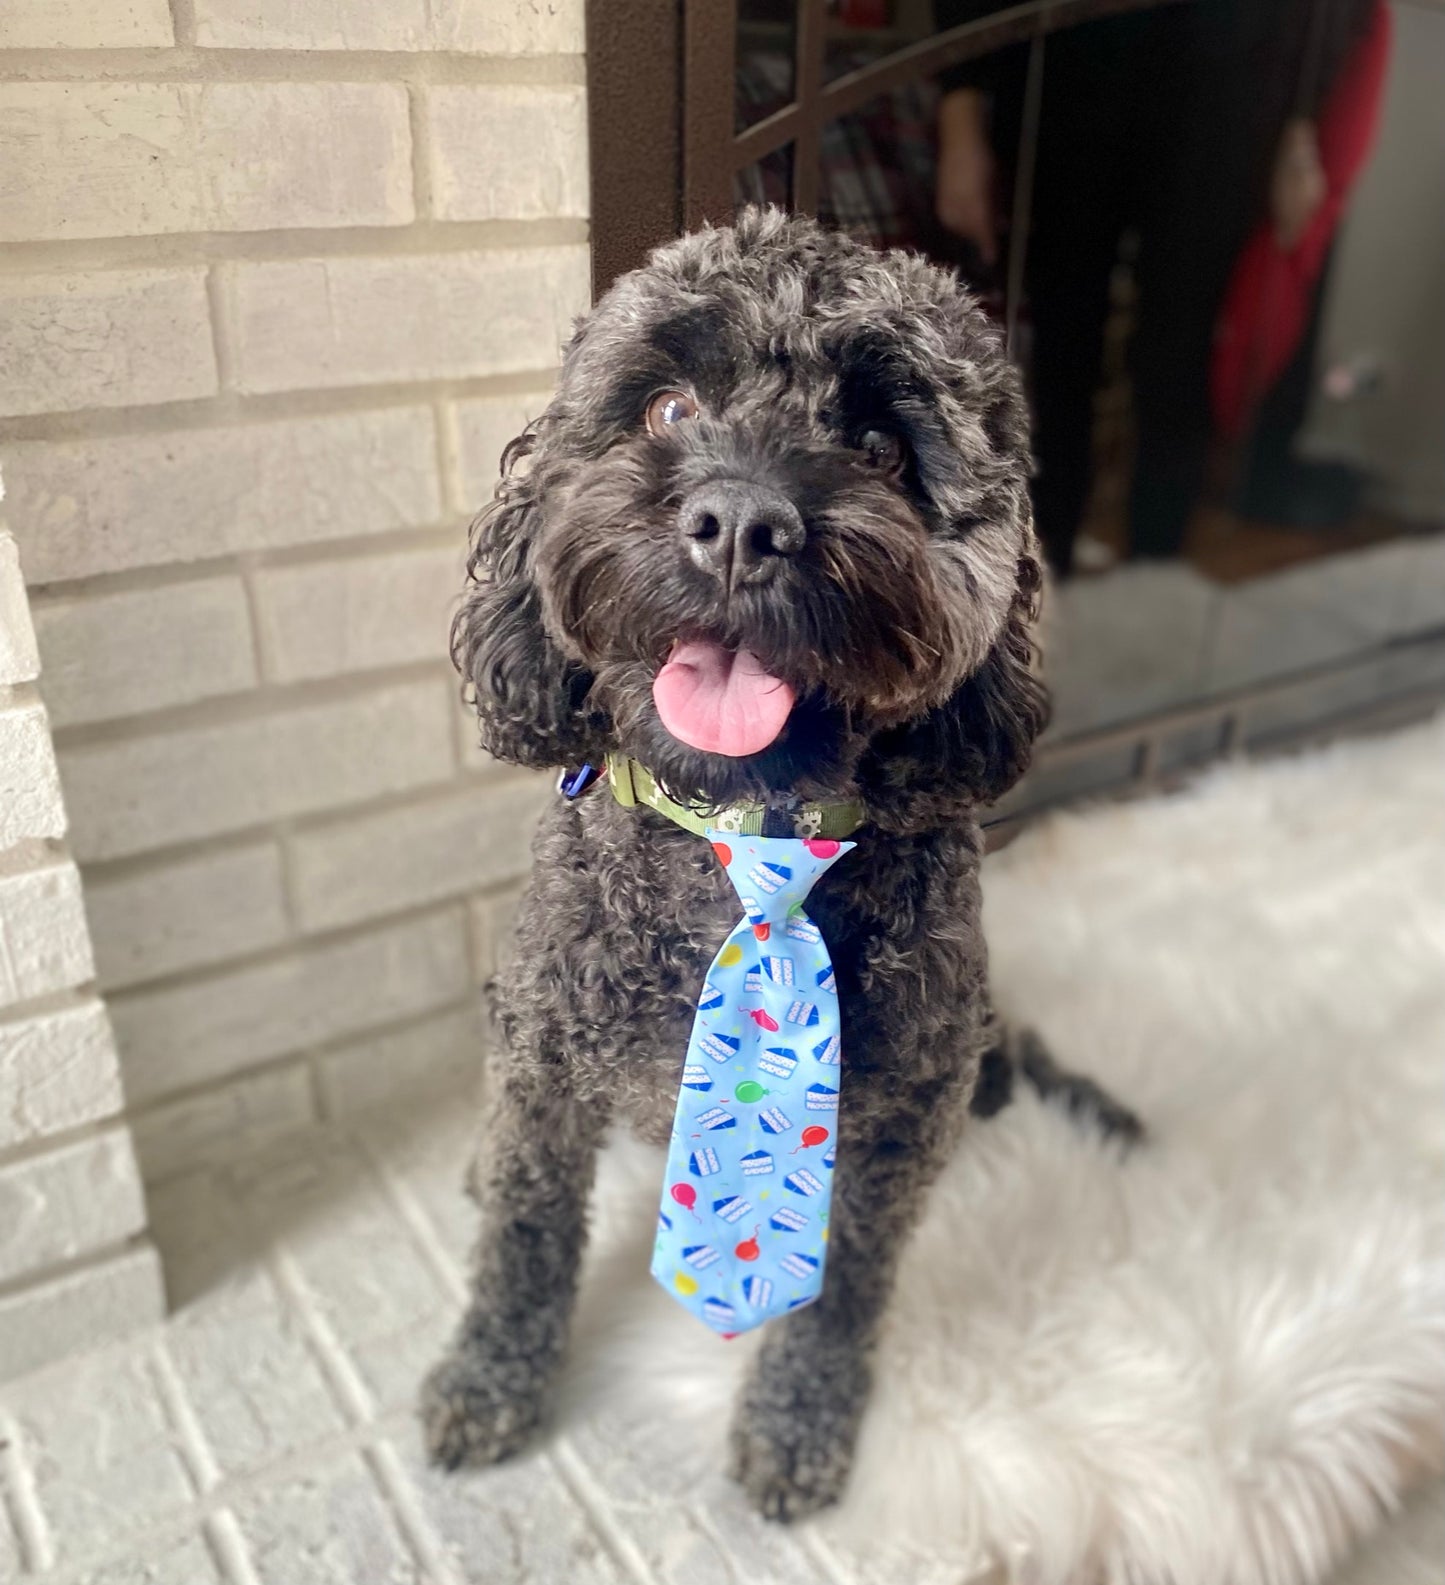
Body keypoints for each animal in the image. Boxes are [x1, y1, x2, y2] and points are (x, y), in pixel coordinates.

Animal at [424, 204, 1134, 1515]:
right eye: (667, 407)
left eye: (882, 445)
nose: (740, 524)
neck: (745, 850)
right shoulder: (542, 1064)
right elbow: (523, 1235)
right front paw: (488, 1375)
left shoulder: (895, 1122)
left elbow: (844, 1285)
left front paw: (800, 1420)